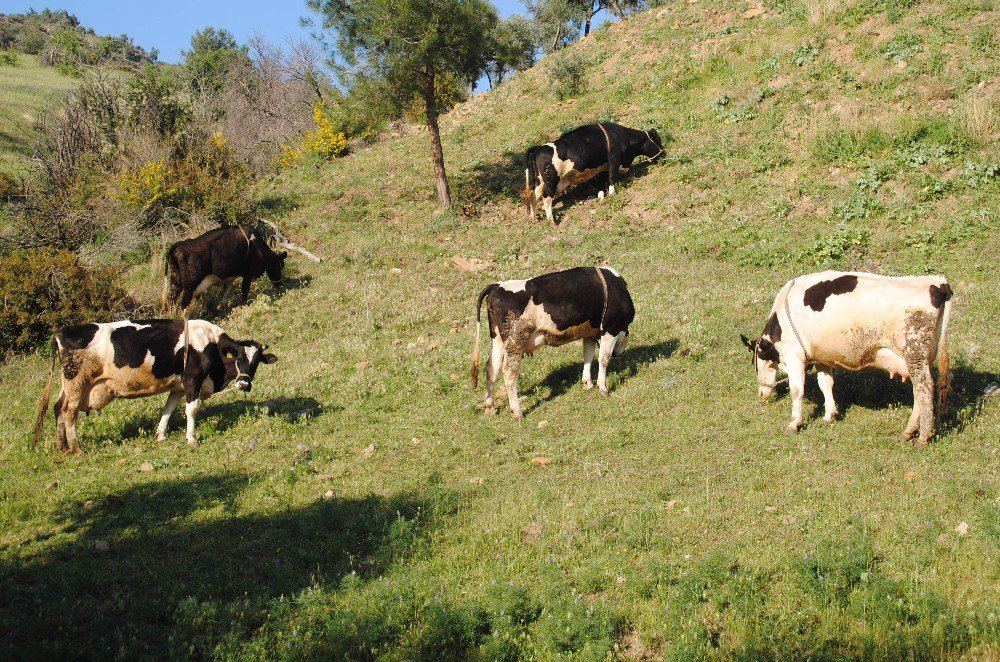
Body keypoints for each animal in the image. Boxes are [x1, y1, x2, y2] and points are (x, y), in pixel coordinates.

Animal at [34, 322, 278, 456]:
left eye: (256, 362)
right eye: (238, 358)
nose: (244, 384)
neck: (209, 343)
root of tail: (62, 333)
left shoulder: (177, 385)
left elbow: (168, 410)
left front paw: (160, 435)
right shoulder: (192, 379)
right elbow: (192, 410)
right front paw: (191, 439)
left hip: (68, 387)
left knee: (58, 408)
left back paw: (63, 447)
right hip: (77, 383)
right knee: (69, 413)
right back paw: (76, 449)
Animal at [470, 266, 632, 418]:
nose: (621, 354)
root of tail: (496, 286)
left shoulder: (590, 332)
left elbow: (588, 355)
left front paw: (588, 383)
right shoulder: (611, 328)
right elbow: (604, 359)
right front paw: (603, 388)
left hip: (497, 338)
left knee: (491, 367)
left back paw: (489, 407)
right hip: (515, 340)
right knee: (509, 372)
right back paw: (517, 411)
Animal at [524, 124, 664, 226]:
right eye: (658, 139)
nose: (664, 154)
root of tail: (538, 148)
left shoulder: (602, 169)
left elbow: (601, 184)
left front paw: (601, 198)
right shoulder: (614, 161)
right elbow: (611, 179)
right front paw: (612, 195)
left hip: (539, 181)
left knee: (534, 196)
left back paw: (533, 218)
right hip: (551, 182)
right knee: (546, 199)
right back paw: (552, 222)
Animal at [744, 272, 952, 448]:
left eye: (754, 363)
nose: (762, 394)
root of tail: (938, 282)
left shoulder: (794, 354)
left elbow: (797, 391)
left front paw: (794, 423)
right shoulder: (822, 357)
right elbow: (825, 384)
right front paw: (829, 415)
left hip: (914, 351)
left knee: (925, 389)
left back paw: (923, 437)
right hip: (919, 358)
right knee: (920, 391)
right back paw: (909, 431)